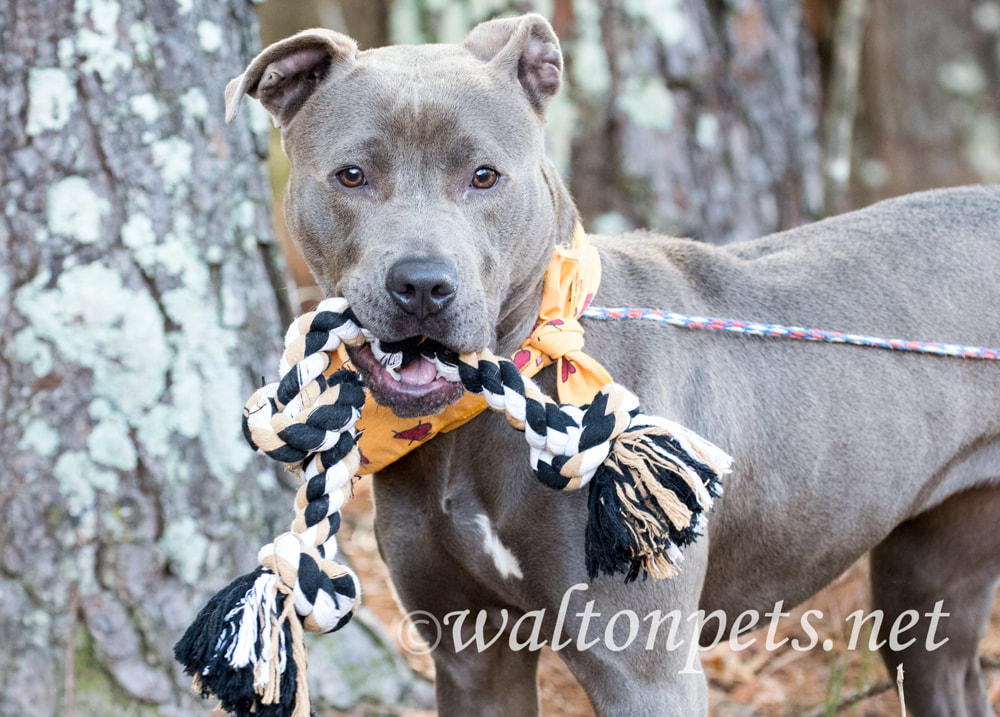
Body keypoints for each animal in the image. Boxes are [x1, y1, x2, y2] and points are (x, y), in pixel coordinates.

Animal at [227, 12, 1000, 716]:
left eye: (485, 175)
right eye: (352, 174)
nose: (422, 285)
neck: (479, 420)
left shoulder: (643, 669)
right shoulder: (472, 655)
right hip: (925, 582)